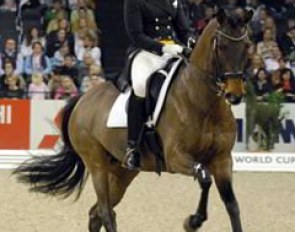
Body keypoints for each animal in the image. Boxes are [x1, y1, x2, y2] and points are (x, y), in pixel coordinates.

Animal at [14, 8, 254, 232]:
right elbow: (204, 177)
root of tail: (82, 99)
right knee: (105, 211)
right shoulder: (176, 157)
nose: (234, 95)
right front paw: (193, 221)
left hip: (122, 172)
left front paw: (199, 219)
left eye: (247, 46)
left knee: (97, 213)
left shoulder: (222, 160)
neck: (203, 103)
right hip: (97, 165)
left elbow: (232, 205)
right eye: (221, 47)